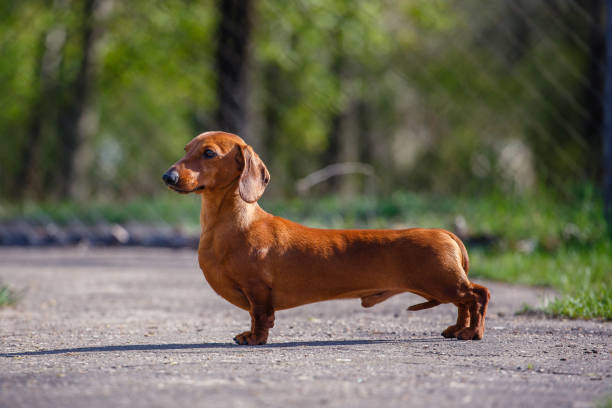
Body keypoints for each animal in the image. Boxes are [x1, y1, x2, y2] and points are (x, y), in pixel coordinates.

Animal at [164, 131, 492, 344]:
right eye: (186, 149)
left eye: (209, 153)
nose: (168, 177)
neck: (235, 224)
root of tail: (446, 232)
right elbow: (258, 316)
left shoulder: (257, 288)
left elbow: (260, 316)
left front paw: (255, 338)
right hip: (445, 284)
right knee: (464, 302)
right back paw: (457, 330)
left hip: (442, 281)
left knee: (478, 295)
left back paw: (472, 333)